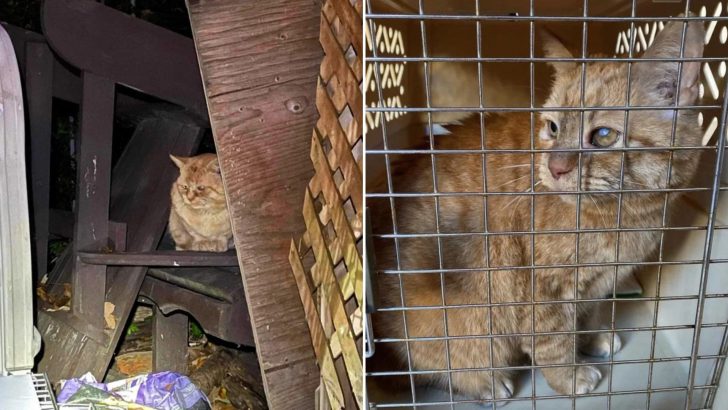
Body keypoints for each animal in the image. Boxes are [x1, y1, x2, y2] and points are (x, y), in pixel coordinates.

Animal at [370, 18, 704, 400]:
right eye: (553, 127)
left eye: (604, 135)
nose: (555, 167)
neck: (622, 219)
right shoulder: (542, 292)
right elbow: (554, 342)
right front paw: (571, 377)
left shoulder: (598, 285)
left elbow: (588, 315)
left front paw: (593, 339)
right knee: (435, 368)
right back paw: (485, 382)